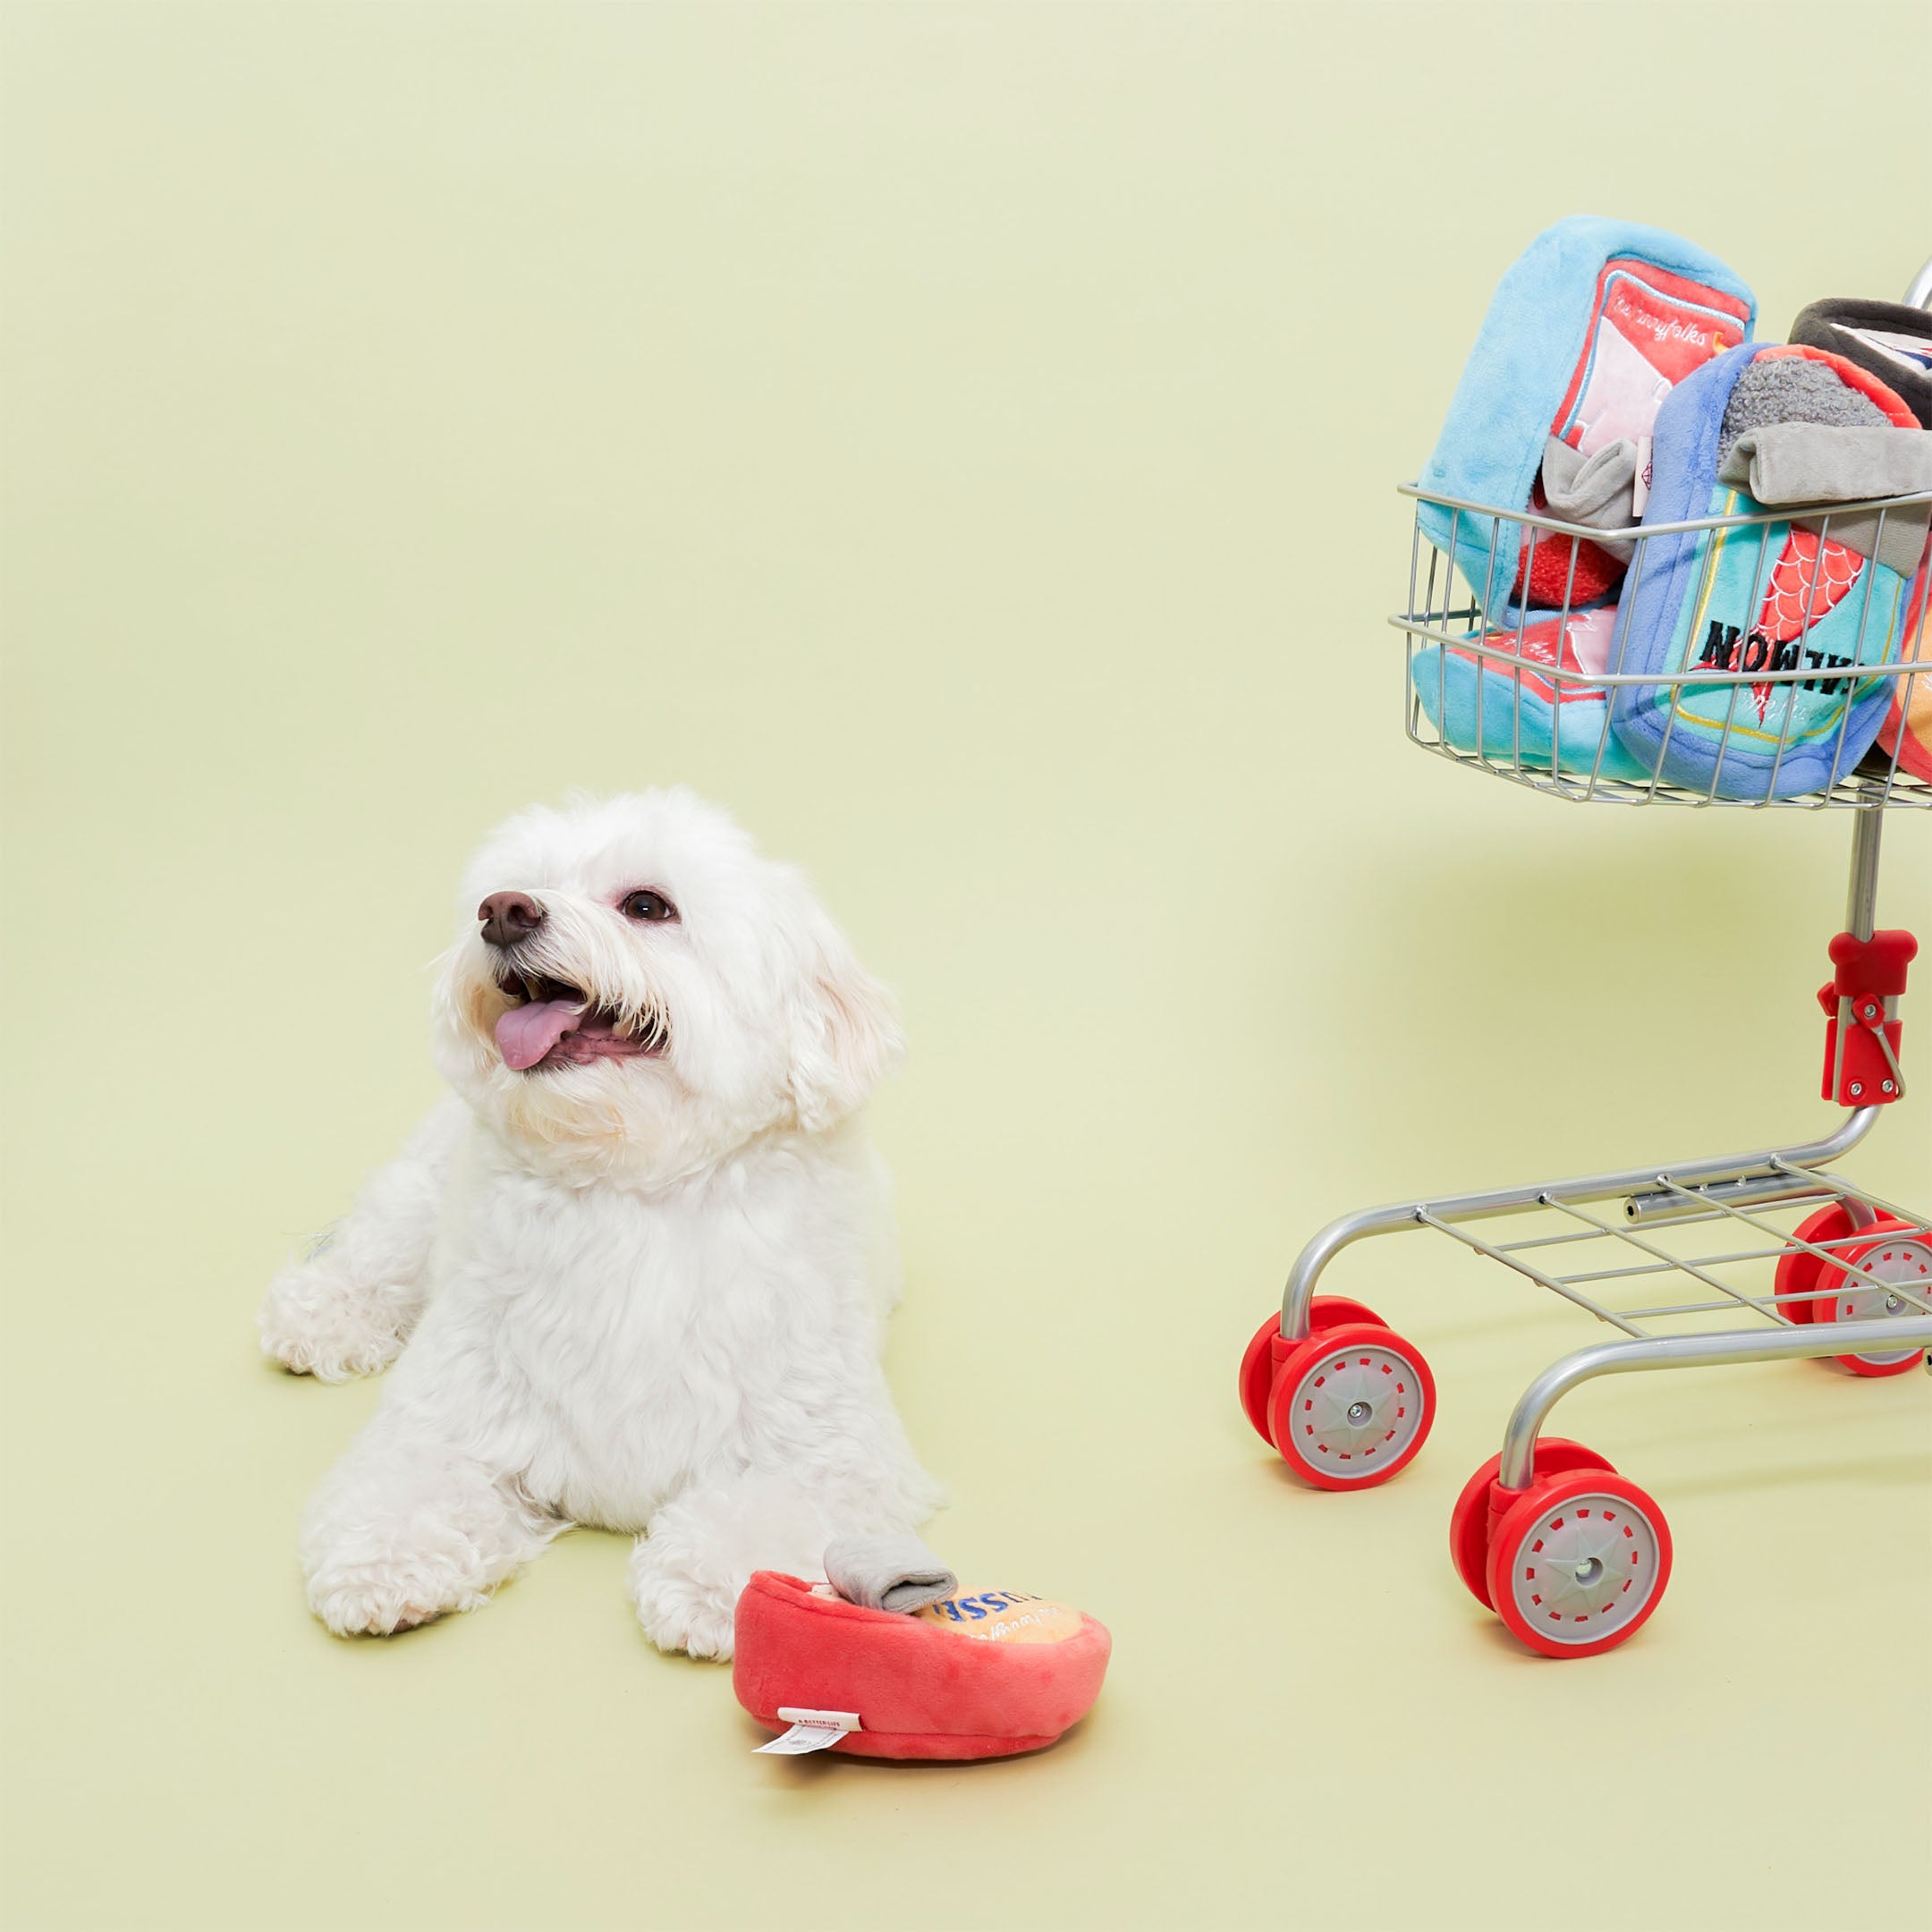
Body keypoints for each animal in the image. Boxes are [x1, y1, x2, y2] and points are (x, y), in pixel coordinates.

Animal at [262, 788, 943, 1661]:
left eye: (647, 906)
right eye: (505, 892)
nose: (503, 911)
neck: (629, 1193)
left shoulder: (828, 1446)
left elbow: (766, 1504)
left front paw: (709, 1581)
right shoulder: (452, 1408)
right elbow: (405, 1480)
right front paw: (383, 1558)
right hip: (417, 1195)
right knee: (376, 1249)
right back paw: (322, 1316)